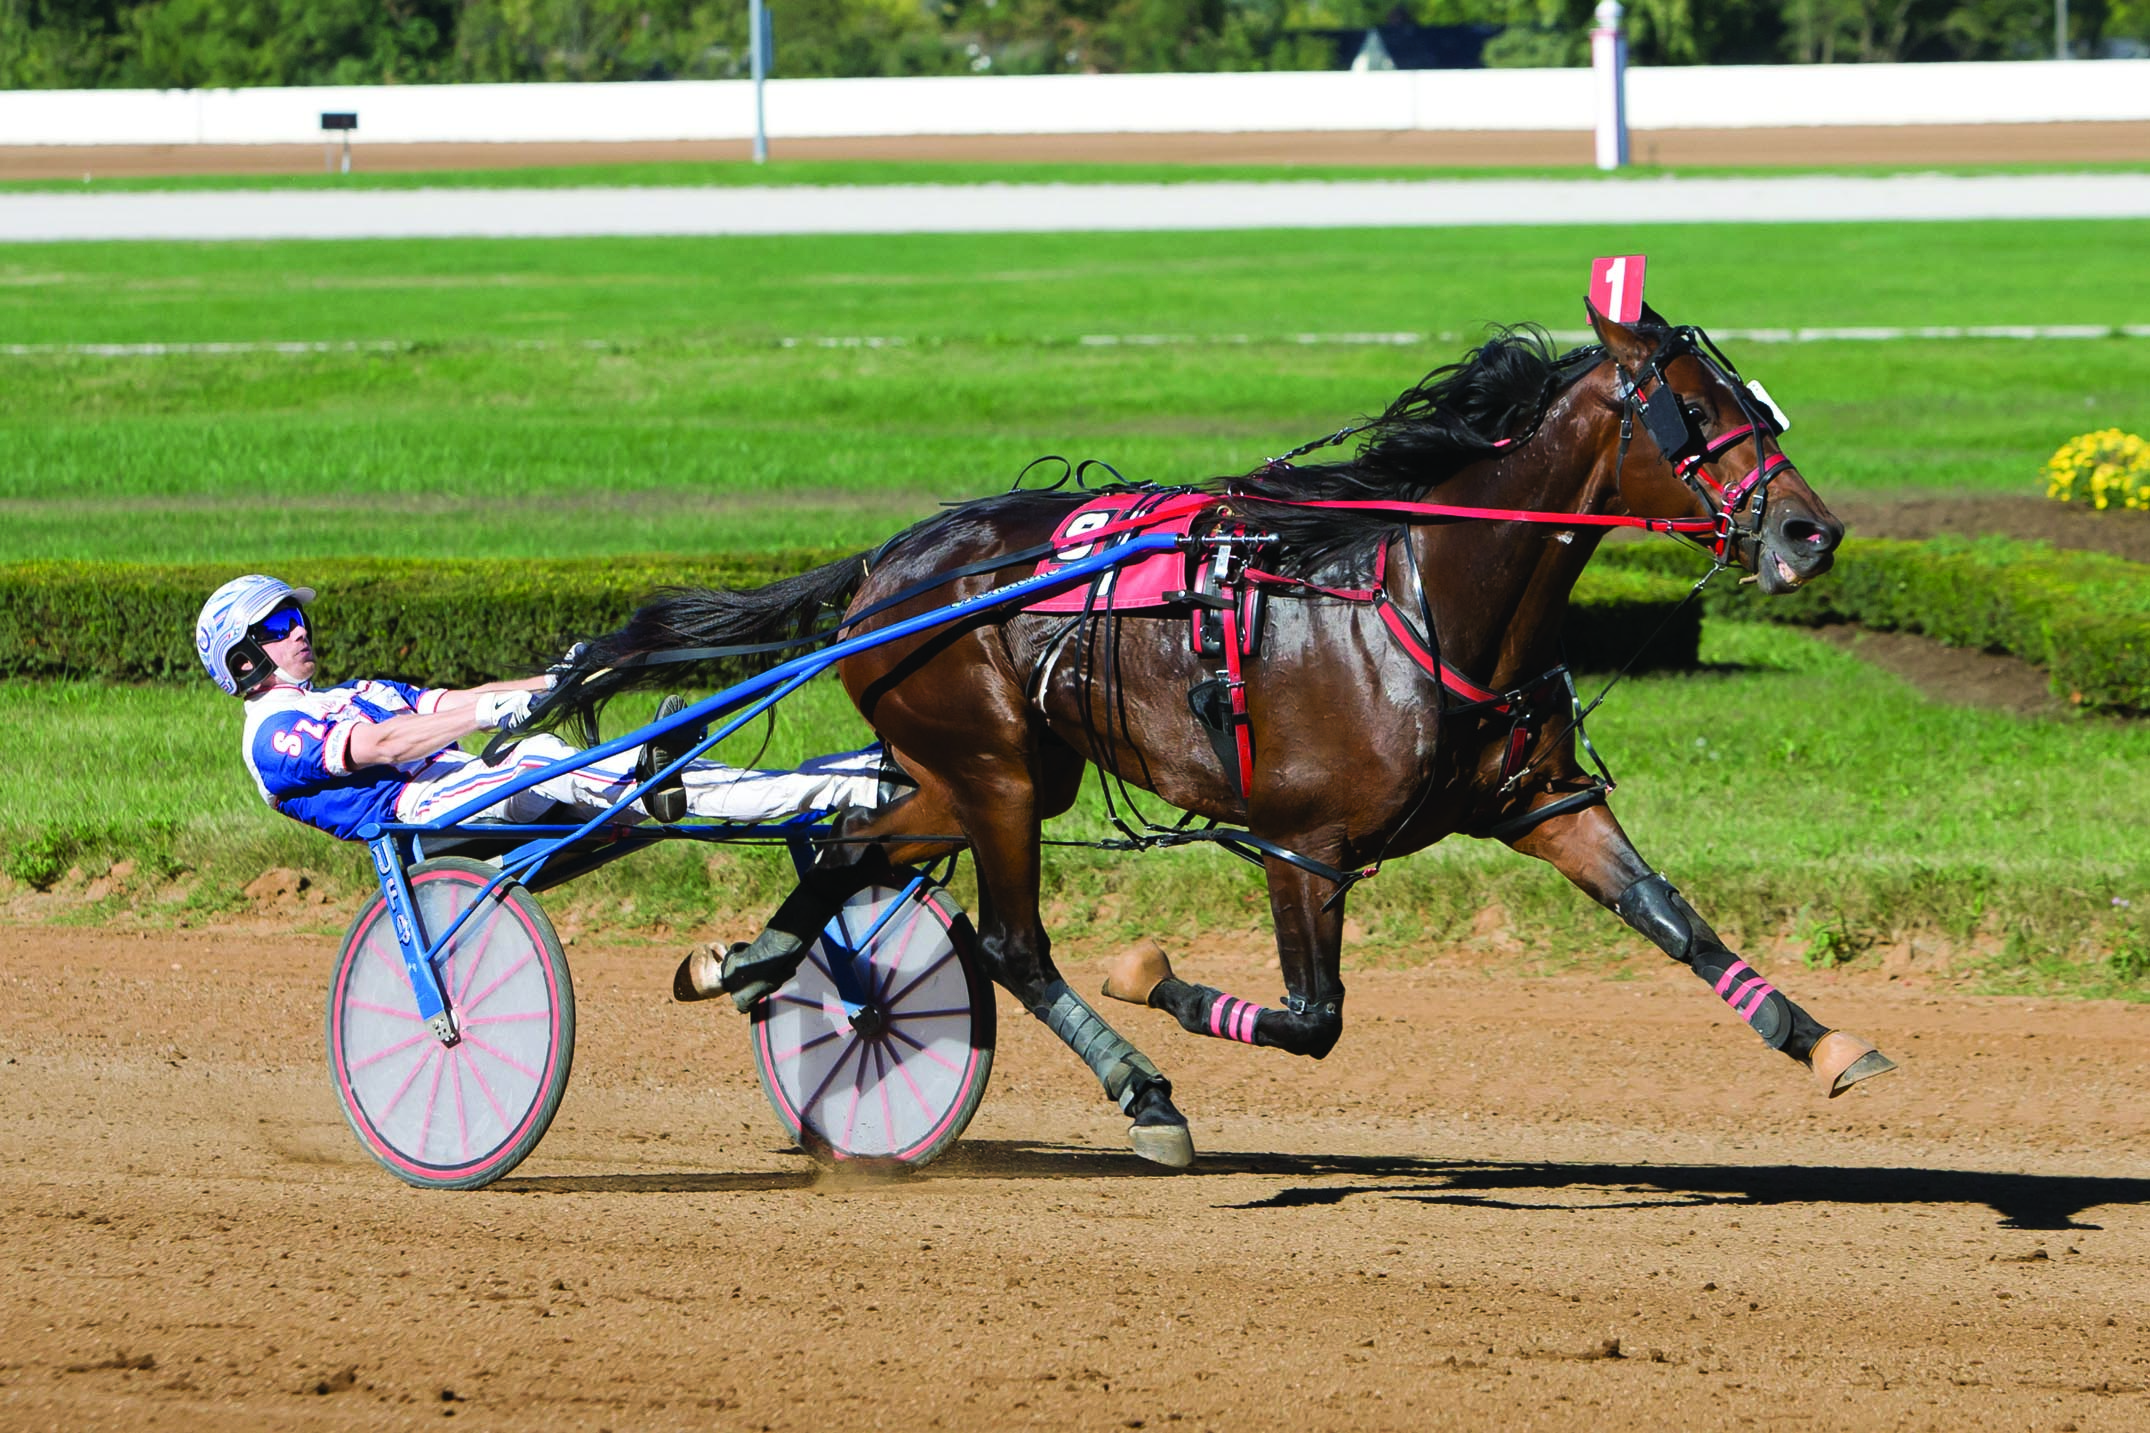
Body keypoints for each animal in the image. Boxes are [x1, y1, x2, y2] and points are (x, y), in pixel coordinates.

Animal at [544, 298, 1895, 1168]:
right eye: (1692, 410)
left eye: (1752, 402)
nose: (1809, 533)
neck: (1427, 601)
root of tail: (884, 563)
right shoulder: (1304, 844)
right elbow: (1310, 1017)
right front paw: (1151, 977)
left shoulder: (1539, 803)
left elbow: (1672, 916)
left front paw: (1825, 1041)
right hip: (989, 765)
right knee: (1010, 940)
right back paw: (1141, 1093)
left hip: (987, 769)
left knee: (851, 845)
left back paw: (746, 961)